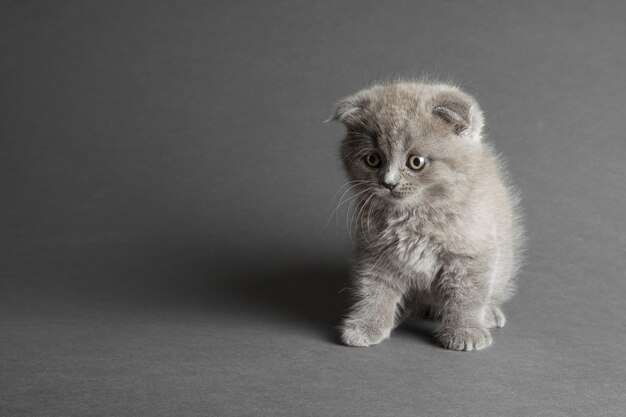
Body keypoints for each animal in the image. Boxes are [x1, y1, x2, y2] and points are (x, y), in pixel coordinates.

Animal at [332, 79, 520, 350]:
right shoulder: (373, 251)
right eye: (372, 159)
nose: (389, 183)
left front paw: (465, 331)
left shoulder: (472, 251)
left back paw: (489, 314)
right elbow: (373, 289)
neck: (416, 216)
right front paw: (366, 326)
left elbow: (467, 295)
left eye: (416, 162)